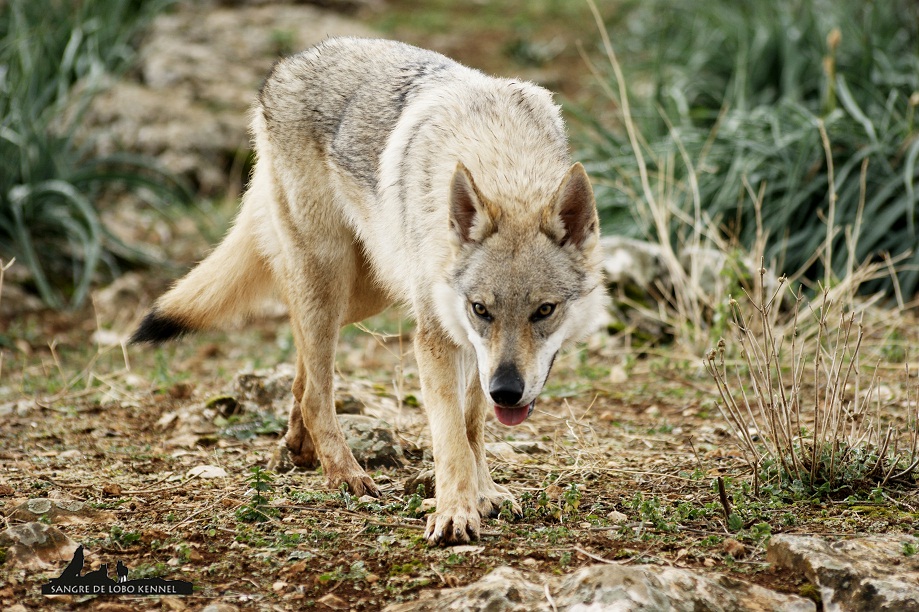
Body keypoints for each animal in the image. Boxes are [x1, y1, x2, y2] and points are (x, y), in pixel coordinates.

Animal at [127, 37, 604, 544]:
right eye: (482, 309)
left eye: (544, 310)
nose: (508, 393)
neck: (502, 160)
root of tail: (288, 63)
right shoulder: (437, 336)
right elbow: (451, 436)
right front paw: (455, 512)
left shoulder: (471, 349)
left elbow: (473, 426)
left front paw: (485, 495)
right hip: (330, 284)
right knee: (316, 390)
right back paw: (344, 473)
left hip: (364, 296)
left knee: (302, 375)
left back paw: (298, 447)